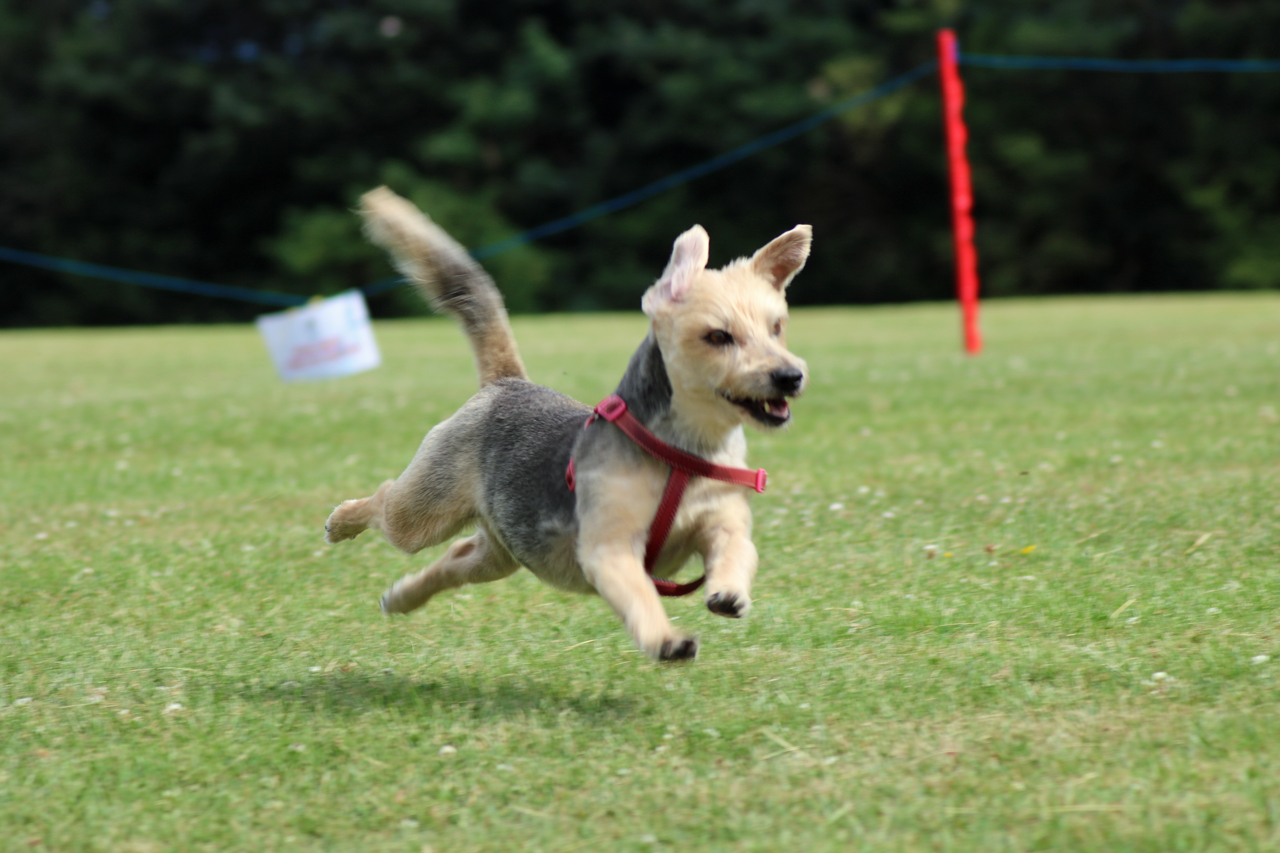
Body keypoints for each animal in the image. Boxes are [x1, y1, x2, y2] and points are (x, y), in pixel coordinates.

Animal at [327, 189, 808, 660]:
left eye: (777, 328)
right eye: (718, 336)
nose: (791, 376)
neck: (685, 453)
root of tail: (507, 382)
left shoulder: (722, 522)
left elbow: (737, 548)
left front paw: (728, 591)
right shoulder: (610, 549)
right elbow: (640, 596)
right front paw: (665, 639)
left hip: (505, 549)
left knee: (458, 556)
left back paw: (401, 597)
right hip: (424, 510)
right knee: (386, 500)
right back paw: (341, 522)